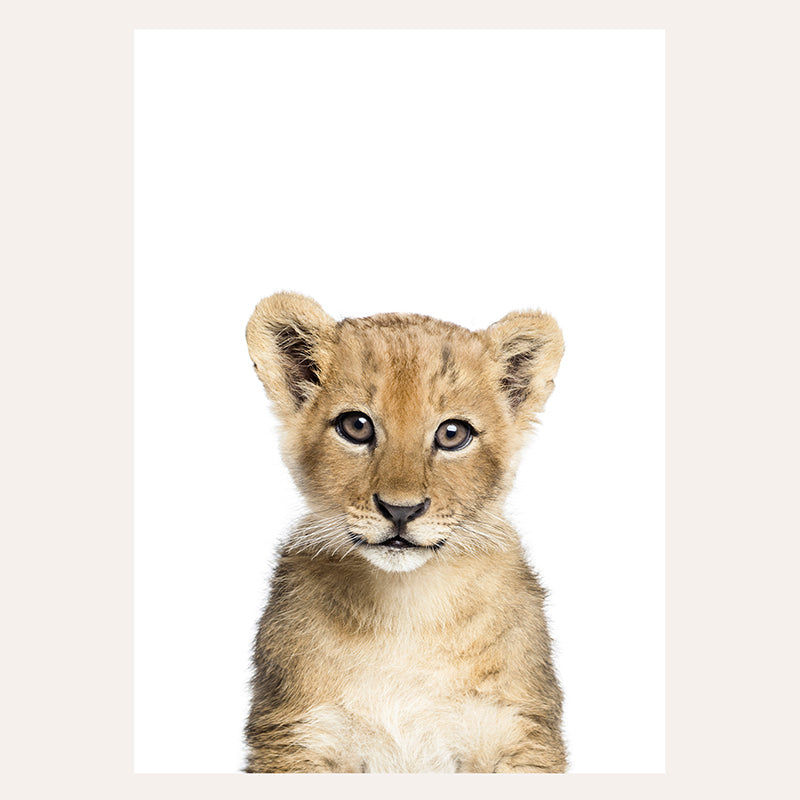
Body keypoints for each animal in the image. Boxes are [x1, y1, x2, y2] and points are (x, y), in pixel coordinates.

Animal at [243, 291, 567, 773]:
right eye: (356, 426)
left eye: (452, 433)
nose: (401, 510)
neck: (406, 608)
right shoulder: (297, 734)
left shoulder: (518, 732)